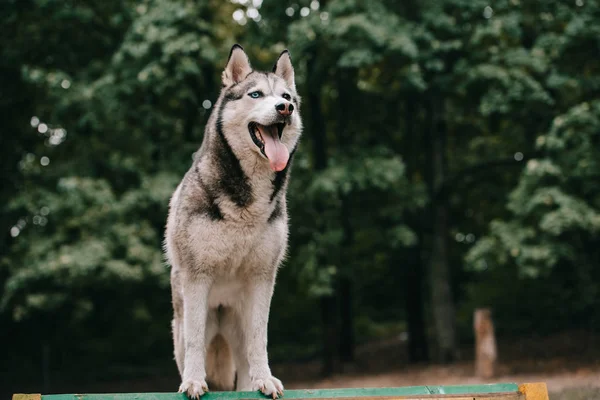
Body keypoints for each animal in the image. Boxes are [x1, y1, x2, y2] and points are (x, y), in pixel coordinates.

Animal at [164, 45, 302, 398]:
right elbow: (196, 341)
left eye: (286, 96)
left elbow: (260, 339)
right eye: (256, 94)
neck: (246, 205)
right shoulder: (197, 277)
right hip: (182, 327)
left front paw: (265, 378)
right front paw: (194, 382)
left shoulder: (262, 278)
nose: (285, 108)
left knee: (244, 367)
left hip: (237, 328)